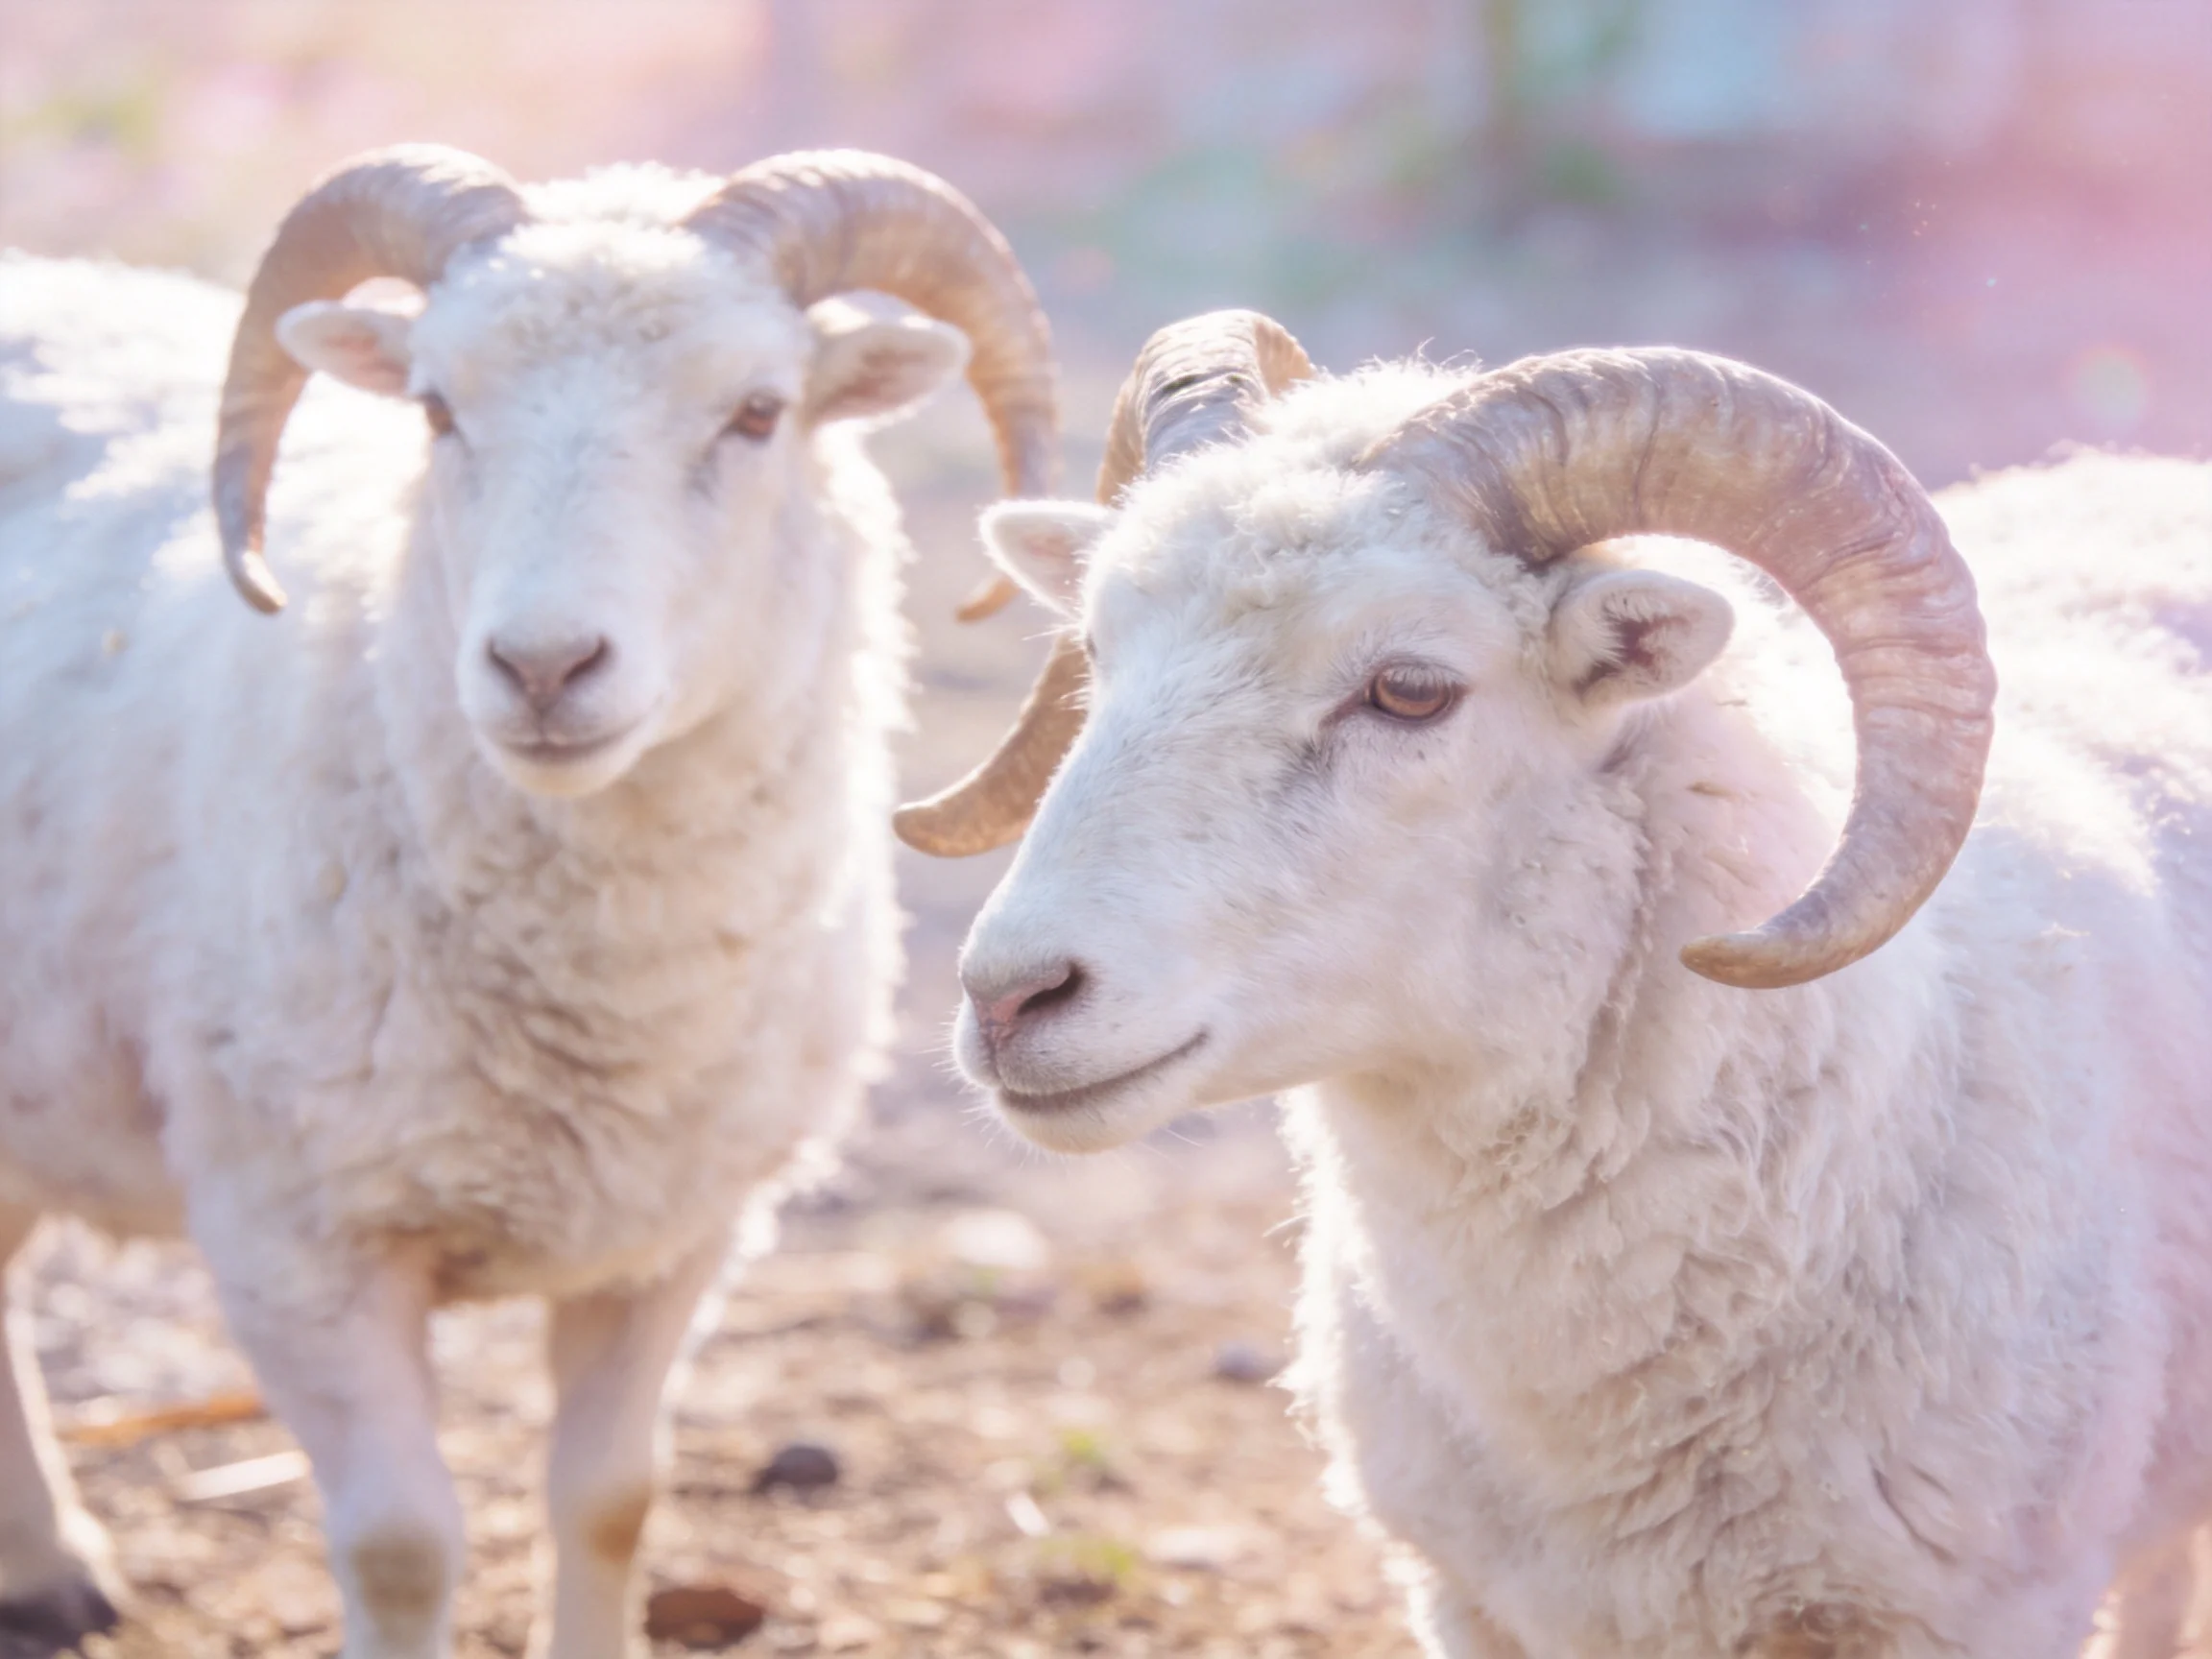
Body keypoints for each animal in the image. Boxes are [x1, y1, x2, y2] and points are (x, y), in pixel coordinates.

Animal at [0, 144, 1056, 1659]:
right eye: (438, 408)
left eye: (759, 411)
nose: (544, 666)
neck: (597, 997)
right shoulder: (291, 1242)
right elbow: (400, 1546)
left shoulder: (679, 1235)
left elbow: (611, 1499)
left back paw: (45, 1566)